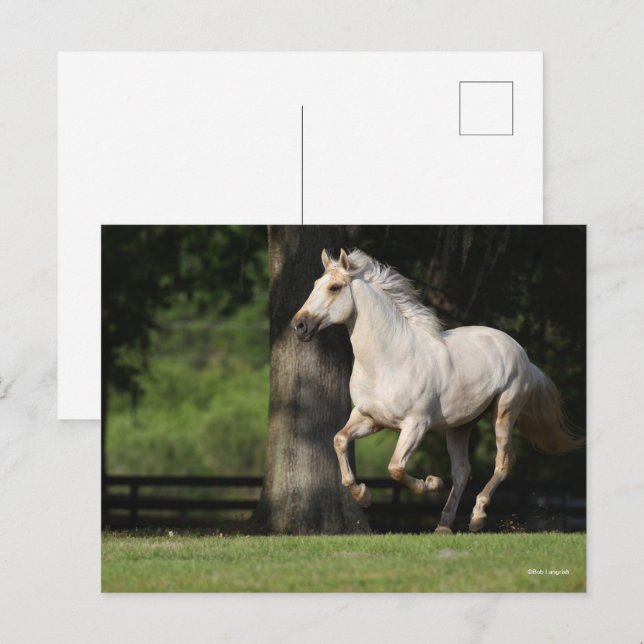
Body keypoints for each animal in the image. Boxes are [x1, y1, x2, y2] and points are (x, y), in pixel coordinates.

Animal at [291, 247, 583, 534]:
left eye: (334, 287)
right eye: (316, 284)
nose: (299, 325)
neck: (388, 361)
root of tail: (522, 355)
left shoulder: (416, 424)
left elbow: (395, 468)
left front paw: (431, 483)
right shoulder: (369, 418)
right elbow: (339, 440)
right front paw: (363, 496)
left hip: (504, 413)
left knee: (503, 462)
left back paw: (476, 518)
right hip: (460, 426)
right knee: (462, 471)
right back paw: (443, 525)